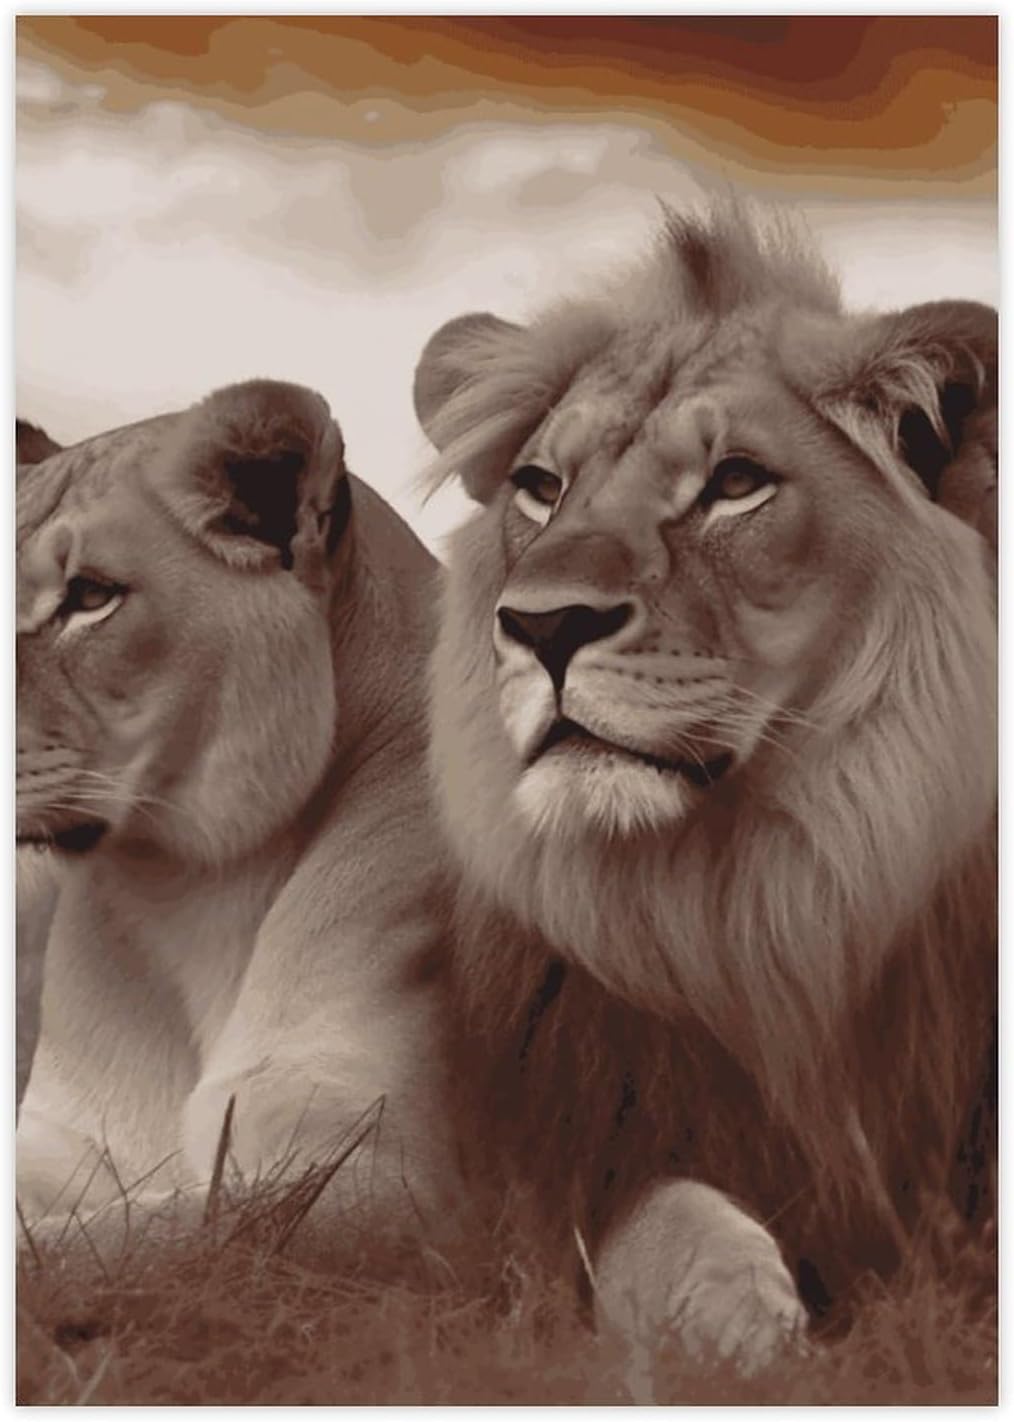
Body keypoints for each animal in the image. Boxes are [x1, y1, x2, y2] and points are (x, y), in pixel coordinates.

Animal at [414, 204, 996, 1372]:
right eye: (541, 488)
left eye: (735, 484)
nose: (543, 624)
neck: (762, 895)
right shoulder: (566, 1170)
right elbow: (665, 1230)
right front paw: (748, 1339)